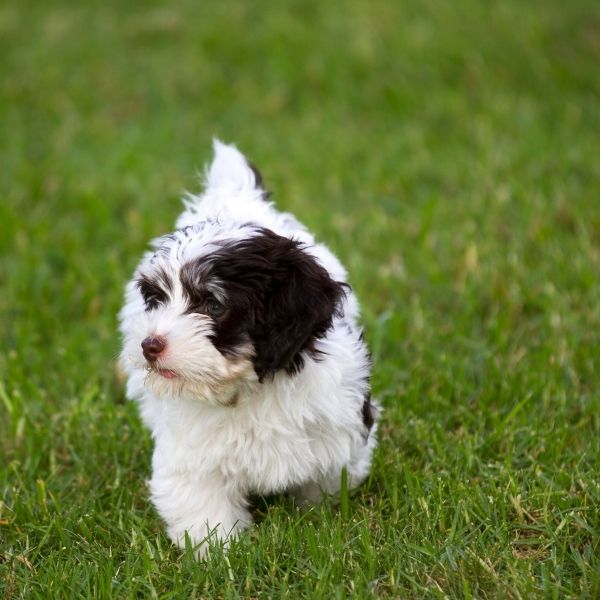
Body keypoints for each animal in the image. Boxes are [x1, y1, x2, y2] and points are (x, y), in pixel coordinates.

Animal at [119, 138, 378, 556]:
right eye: (156, 299)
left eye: (213, 305)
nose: (149, 345)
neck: (249, 387)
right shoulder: (191, 451)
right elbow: (201, 502)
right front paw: (216, 552)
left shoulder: (343, 424)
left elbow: (325, 480)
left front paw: (318, 518)